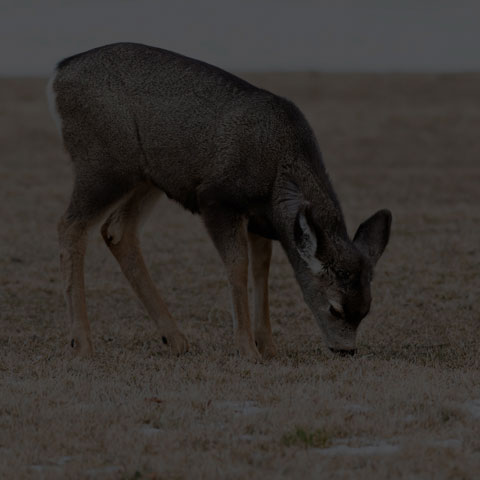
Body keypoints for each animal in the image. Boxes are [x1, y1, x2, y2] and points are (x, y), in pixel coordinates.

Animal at [46, 43, 390, 360]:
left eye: (367, 308)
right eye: (335, 308)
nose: (346, 350)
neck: (277, 173)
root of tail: (59, 73)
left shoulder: (260, 219)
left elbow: (262, 268)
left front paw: (269, 346)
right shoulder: (217, 199)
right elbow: (237, 266)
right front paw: (247, 349)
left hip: (146, 176)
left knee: (117, 231)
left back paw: (175, 339)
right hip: (102, 165)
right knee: (70, 225)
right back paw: (82, 344)